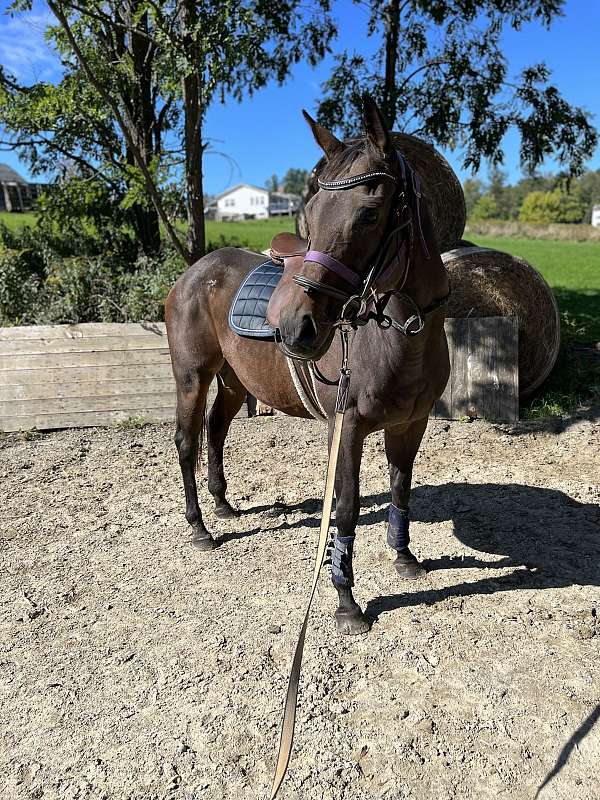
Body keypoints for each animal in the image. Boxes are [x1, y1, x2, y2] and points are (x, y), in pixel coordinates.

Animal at [165, 97, 450, 635]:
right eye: (312, 212)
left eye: (370, 212)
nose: (296, 328)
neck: (401, 337)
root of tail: (195, 272)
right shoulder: (348, 426)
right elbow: (346, 509)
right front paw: (346, 600)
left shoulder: (412, 423)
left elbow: (401, 486)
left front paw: (404, 557)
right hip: (192, 376)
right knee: (188, 440)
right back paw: (199, 527)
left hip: (234, 383)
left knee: (215, 430)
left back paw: (222, 504)